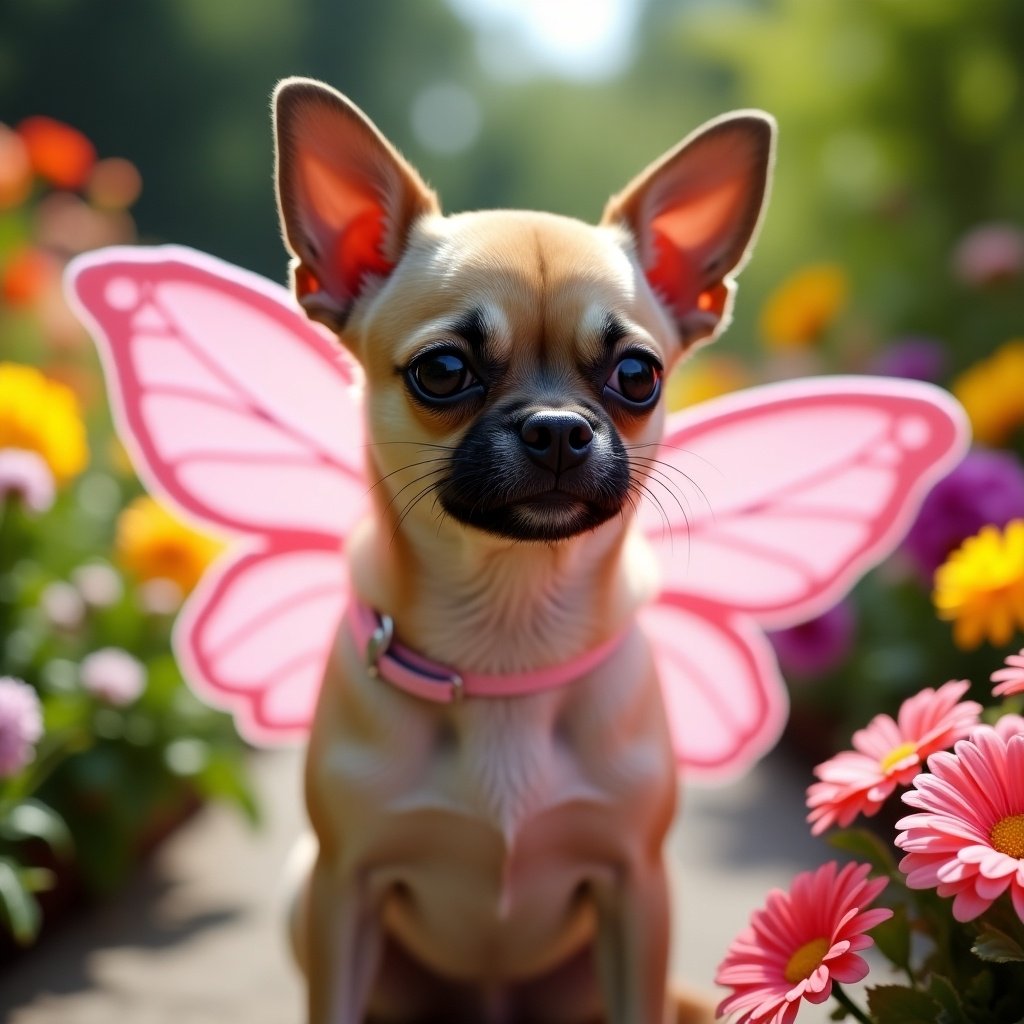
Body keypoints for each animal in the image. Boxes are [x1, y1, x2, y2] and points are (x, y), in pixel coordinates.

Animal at [274, 74, 774, 1024]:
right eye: (442, 370)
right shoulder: (342, 889)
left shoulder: (635, 891)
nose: (556, 428)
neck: (507, 634)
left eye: (638, 375)